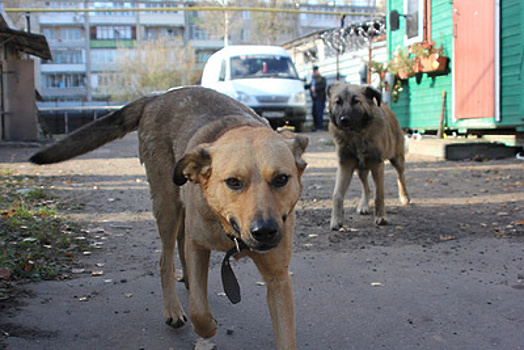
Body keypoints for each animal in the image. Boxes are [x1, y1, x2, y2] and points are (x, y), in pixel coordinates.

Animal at [29, 86, 308, 348]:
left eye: (281, 179)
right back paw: (173, 308)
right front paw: (208, 326)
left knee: (181, 245)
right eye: (233, 182)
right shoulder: (199, 246)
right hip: (166, 205)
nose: (265, 231)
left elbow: (285, 335)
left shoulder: (278, 279)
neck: (230, 232)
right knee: (166, 259)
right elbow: (198, 311)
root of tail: (157, 97)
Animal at [328, 83, 410, 228]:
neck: (356, 135)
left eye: (356, 101)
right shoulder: (345, 165)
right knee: (366, 187)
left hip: (397, 159)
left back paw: (404, 196)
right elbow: (337, 194)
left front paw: (381, 217)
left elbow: (379, 194)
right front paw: (336, 220)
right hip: (361, 169)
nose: (344, 120)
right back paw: (364, 205)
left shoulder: (377, 165)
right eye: (338, 102)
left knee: (401, 177)